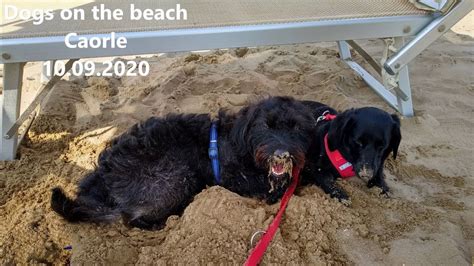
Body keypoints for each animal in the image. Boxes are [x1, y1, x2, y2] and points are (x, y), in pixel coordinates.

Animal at [51, 96, 316, 230]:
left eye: (296, 128)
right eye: (265, 126)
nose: (282, 154)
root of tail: (104, 175)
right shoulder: (237, 178)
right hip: (174, 178)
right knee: (130, 217)